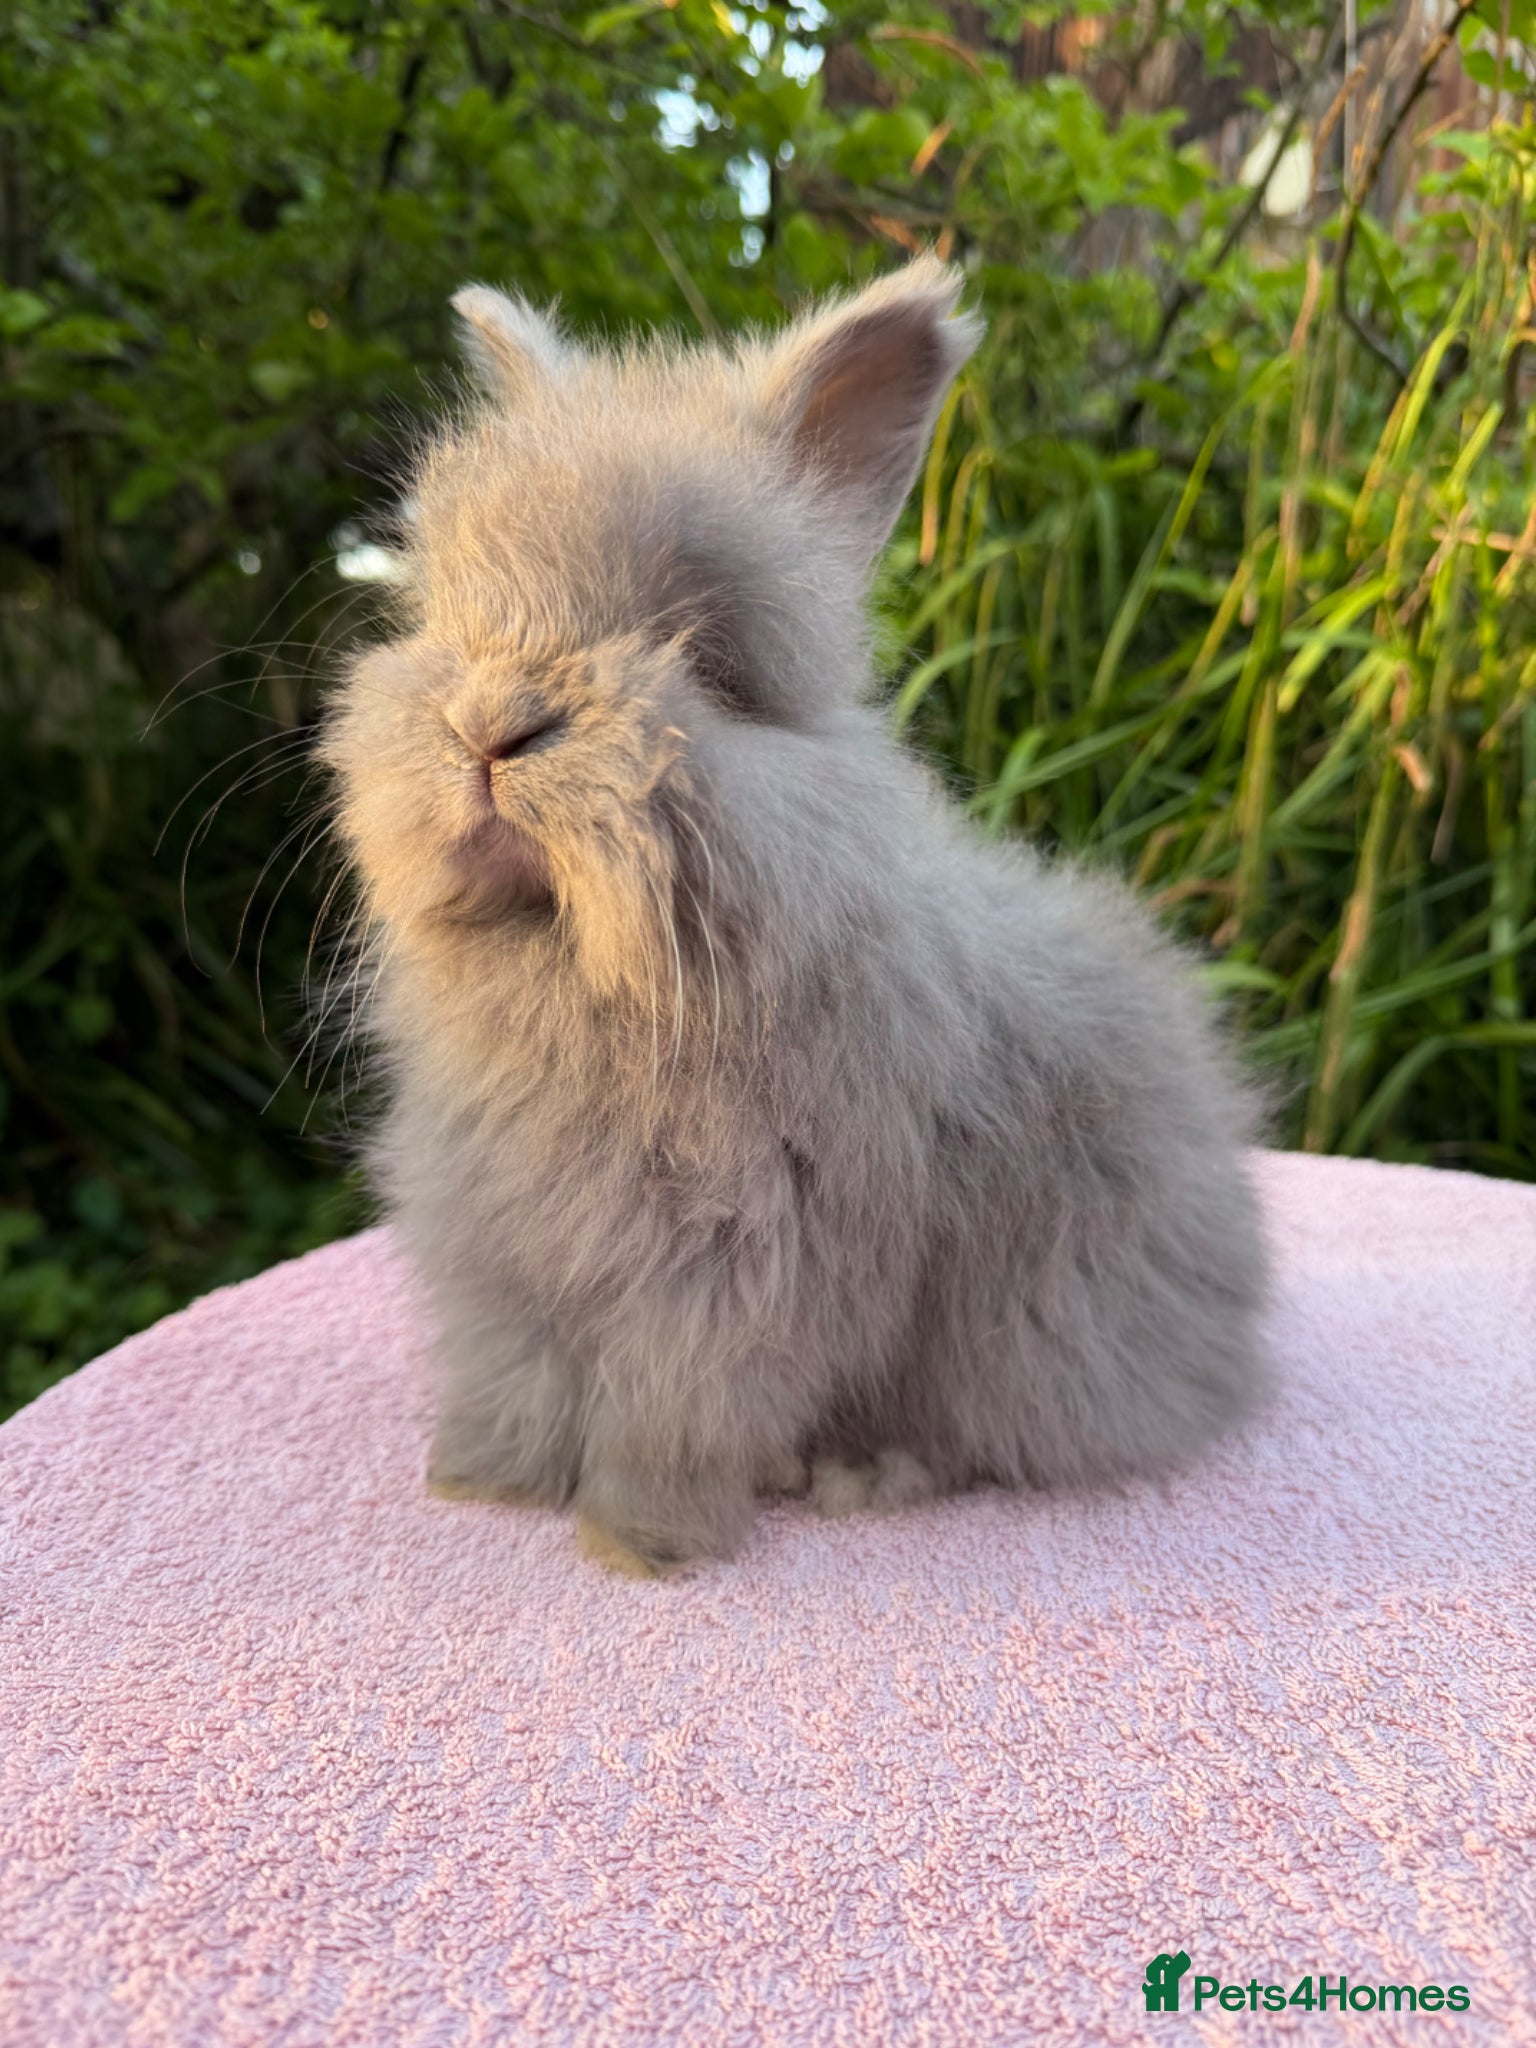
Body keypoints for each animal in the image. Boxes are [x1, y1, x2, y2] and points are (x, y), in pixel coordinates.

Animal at [319, 254, 1271, 1578]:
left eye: (701, 656)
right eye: (444, 618)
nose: (492, 726)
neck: (583, 969)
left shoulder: (739, 1266)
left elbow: (673, 1412)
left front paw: (640, 1545)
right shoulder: (503, 1254)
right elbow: (520, 1380)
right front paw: (482, 1483)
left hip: (1039, 1325)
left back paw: (861, 1473)